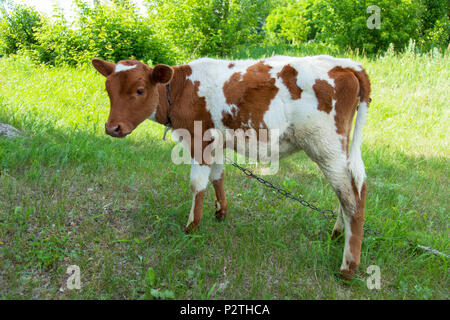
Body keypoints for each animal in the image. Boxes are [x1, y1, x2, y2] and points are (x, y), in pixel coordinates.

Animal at [91, 55, 370, 280]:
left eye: (139, 90)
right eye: (108, 90)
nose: (112, 127)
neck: (182, 89)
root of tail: (346, 64)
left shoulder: (199, 140)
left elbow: (197, 185)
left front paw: (192, 227)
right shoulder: (216, 142)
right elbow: (218, 176)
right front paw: (220, 212)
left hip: (325, 146)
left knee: (351, 200)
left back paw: (347, 267)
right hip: (338, 150)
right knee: (353, 188)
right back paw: (337, 233)